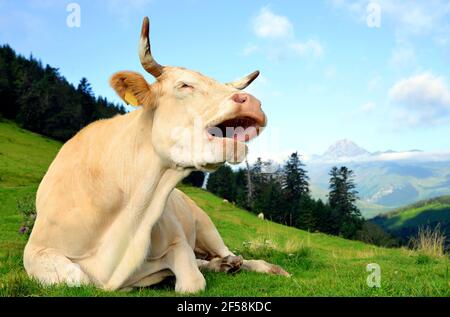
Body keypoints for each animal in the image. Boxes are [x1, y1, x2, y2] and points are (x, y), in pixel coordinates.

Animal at [22, 17, 288, 292]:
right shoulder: (37, 249)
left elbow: (192, 281)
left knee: (236, 256)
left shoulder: (177, 240)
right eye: (184, 84)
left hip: (206, 226)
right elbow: (75, 278)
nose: (253, 103)